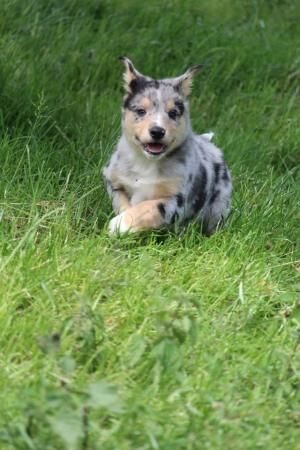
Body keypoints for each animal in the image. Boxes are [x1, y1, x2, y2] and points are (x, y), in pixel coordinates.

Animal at [103, 56, 232, 236]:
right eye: (141, 111)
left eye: (173, 113)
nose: (157, 131)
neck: (146, 162)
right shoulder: (115, 183)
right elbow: (122, 204)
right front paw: (122, 225)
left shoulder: (176, 199)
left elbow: (150, 207)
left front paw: (119, 224)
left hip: (218, 206)